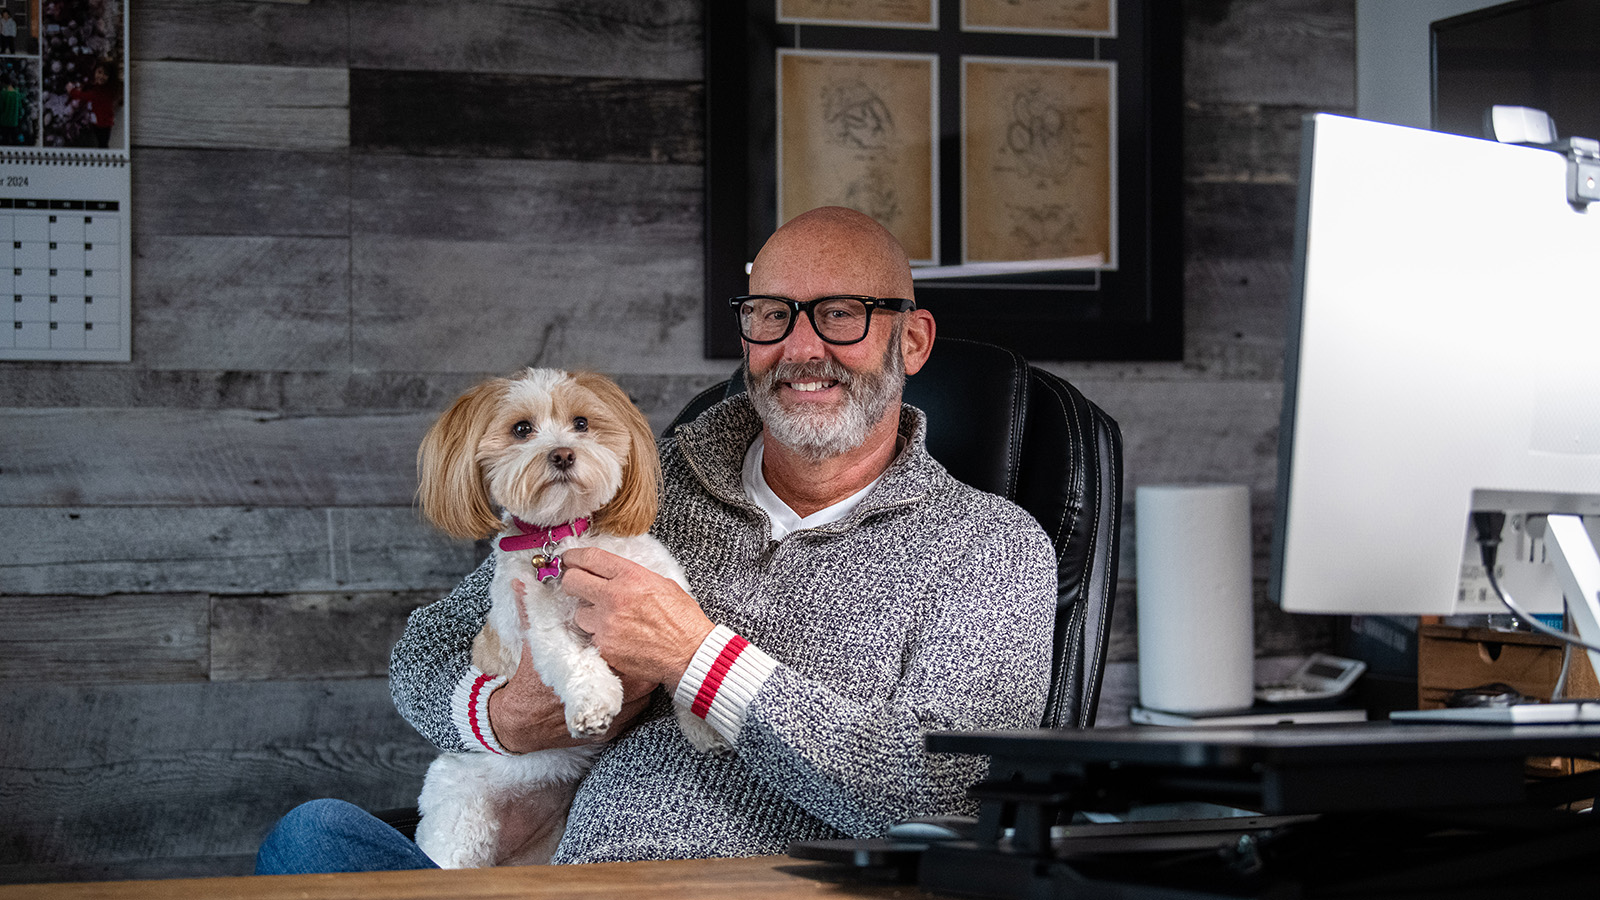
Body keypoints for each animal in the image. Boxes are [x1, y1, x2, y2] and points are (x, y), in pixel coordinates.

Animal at [412, 365, 720, 864]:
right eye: (521, 429)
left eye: (581, 423)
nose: (561, 454)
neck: (564, 539)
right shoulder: (541, 628)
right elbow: (575, 662)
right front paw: (593, 705)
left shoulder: (665, 603)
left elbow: (687, 658)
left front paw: (705, 722)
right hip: (459, 823)